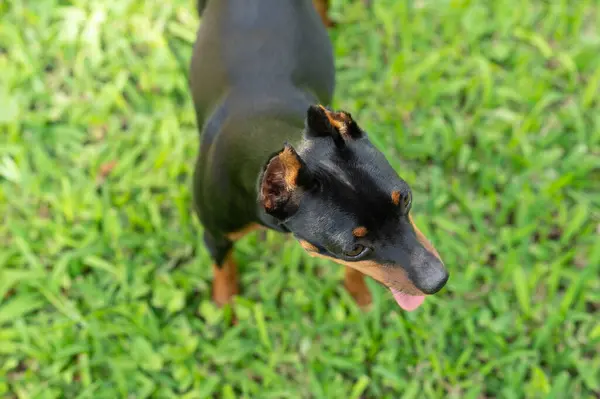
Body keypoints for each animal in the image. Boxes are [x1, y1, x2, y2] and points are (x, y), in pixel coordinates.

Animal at [190, 0, 448, 312]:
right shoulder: (214, 235)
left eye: (406, 199)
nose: (439, 281)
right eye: (354, 249)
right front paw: (225, 308)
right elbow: (224, 269)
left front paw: (359, 295)